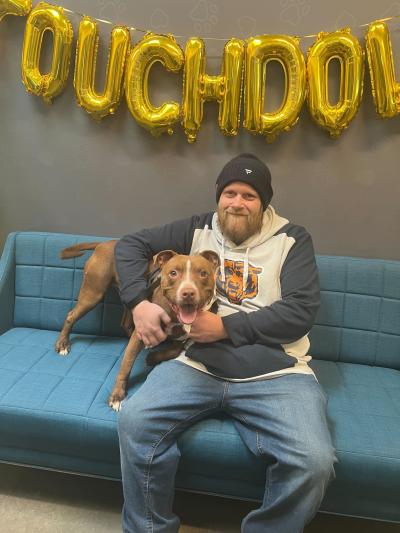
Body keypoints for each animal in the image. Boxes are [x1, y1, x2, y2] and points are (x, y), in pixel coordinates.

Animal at [54, 241, 219, 412]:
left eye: (203, 273)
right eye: (173, 273)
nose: (188, 293)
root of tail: (104, 243)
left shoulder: (179, 339)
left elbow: (173, 351)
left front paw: (153, 357)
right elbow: (126, 365)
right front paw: (117, 396)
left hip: (130, 300)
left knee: (125, 324)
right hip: (93, 293)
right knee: (71, 316)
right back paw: (63, 344)